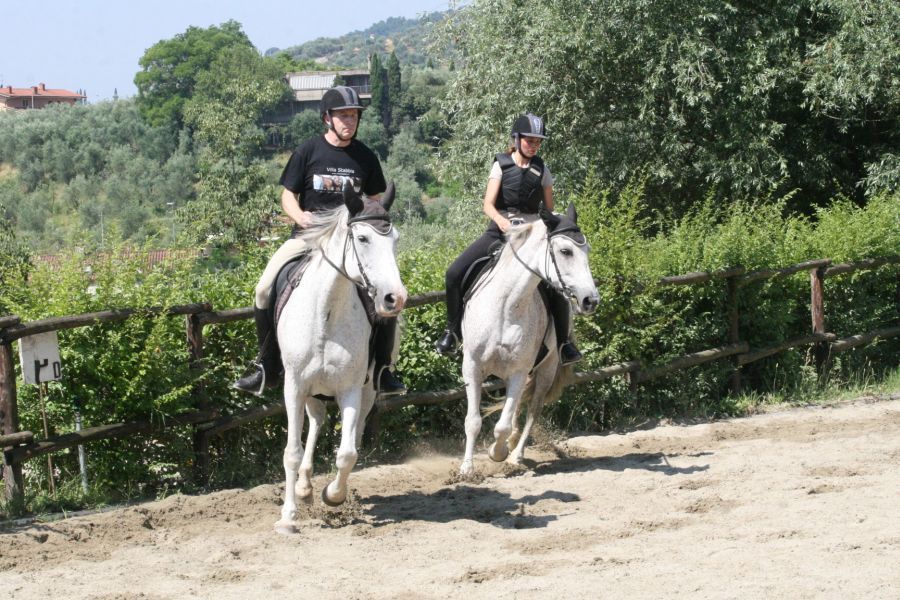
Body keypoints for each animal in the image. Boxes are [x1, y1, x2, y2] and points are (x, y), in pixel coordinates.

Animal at [270, 183, 404, 536]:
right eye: (363, 239)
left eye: (395, 239)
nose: (395, 298)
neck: (326, 311)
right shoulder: (294, 386)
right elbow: (291, 451)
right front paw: (288, 516)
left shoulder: (351, 389)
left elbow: (347, 453)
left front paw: (333, 495)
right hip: (310, 389)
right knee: (316, 421)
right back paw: (303, 488)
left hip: (367, 389)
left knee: (351, 432)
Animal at [460, 204, 600, 476]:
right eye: (565, 251)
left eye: (587, 250)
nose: (590, 300)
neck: (505, 306)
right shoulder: (472, 366)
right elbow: (473, 420)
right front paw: (466, 468)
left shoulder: (519, 369)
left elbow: (502, 425)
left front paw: (498, 453)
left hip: (546, 368)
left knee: (533, 409)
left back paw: (516, 454)